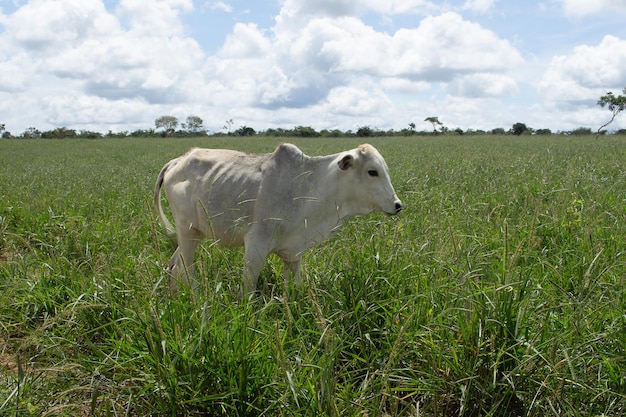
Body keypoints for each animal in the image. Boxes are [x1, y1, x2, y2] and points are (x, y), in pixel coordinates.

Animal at [154, 143, 402, 296]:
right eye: (372, 171)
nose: (398, 205)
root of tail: (178, 160)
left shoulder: (294, 253)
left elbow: (294, 289)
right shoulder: (255, 245)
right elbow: (248, 289)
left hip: (193, 234)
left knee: (175, 265)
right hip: (186, 231)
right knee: (187, 270)